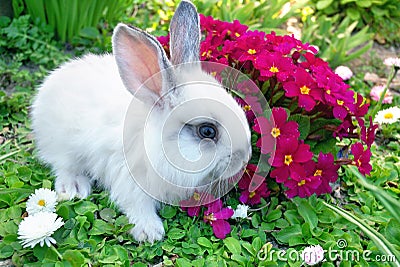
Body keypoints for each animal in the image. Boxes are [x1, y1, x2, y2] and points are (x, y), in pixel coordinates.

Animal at [31, 0, 250, 243]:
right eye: (207, 132)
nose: (245, 158)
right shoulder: (130, 183)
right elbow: (137, 207)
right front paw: (150, 232)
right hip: (62, 146)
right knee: (62, 165)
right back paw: (74, 188)